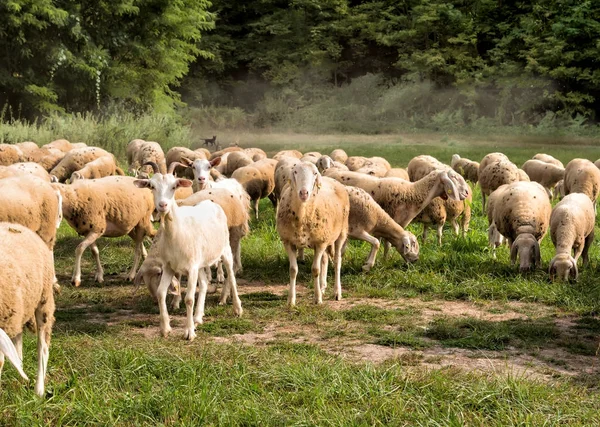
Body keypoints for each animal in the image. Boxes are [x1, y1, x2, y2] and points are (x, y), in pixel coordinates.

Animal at [0, 224, 55, 398]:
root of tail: (16, 226)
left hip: (44, 300)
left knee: (43, 347)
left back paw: (39, 391)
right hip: (19, 309)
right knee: (18, 342)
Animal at [134, 163, 241, 342]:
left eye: (174, 186)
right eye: (152, 186)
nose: (162, 205)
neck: (177, 231)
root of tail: (210, 203)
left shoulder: (191, 268)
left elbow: (189, 298)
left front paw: (189, 332)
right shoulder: (169, 267)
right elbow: (161, 293)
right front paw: (165, 328)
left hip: (225, 250)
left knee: (231, 276)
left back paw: (237, 308)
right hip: (201, 262)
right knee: (204, 284)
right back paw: (198, 317)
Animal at [278, 162, 352, 306]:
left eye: (315, 173)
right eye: (295, 172)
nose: (304, 193)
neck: (302, 213)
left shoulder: (320, 243)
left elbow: (315, 270)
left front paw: (317, 298)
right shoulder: (288, 242)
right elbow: (293, 270)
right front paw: (291, 300)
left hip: (341, 233)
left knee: (337, 261)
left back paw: (337, 292)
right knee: (325, 259)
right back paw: (322, 286)